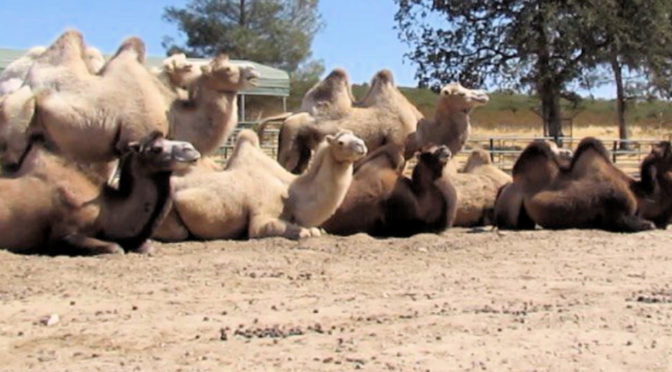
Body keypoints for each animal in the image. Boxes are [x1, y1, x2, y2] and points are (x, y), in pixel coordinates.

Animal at [0, 132, 200, 256]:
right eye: (156, 149)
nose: (190, 149)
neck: (108, 212)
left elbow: (146, 247)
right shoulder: (63, 234)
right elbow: (115, 247)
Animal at [153, 130, 368, 241]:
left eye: (356, 136)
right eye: (340, 142)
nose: (362, 145)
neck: (291, 193)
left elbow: (315, 229)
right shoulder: (262, 212)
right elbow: (269, 228)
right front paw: (304, 232)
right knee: (178, 233)